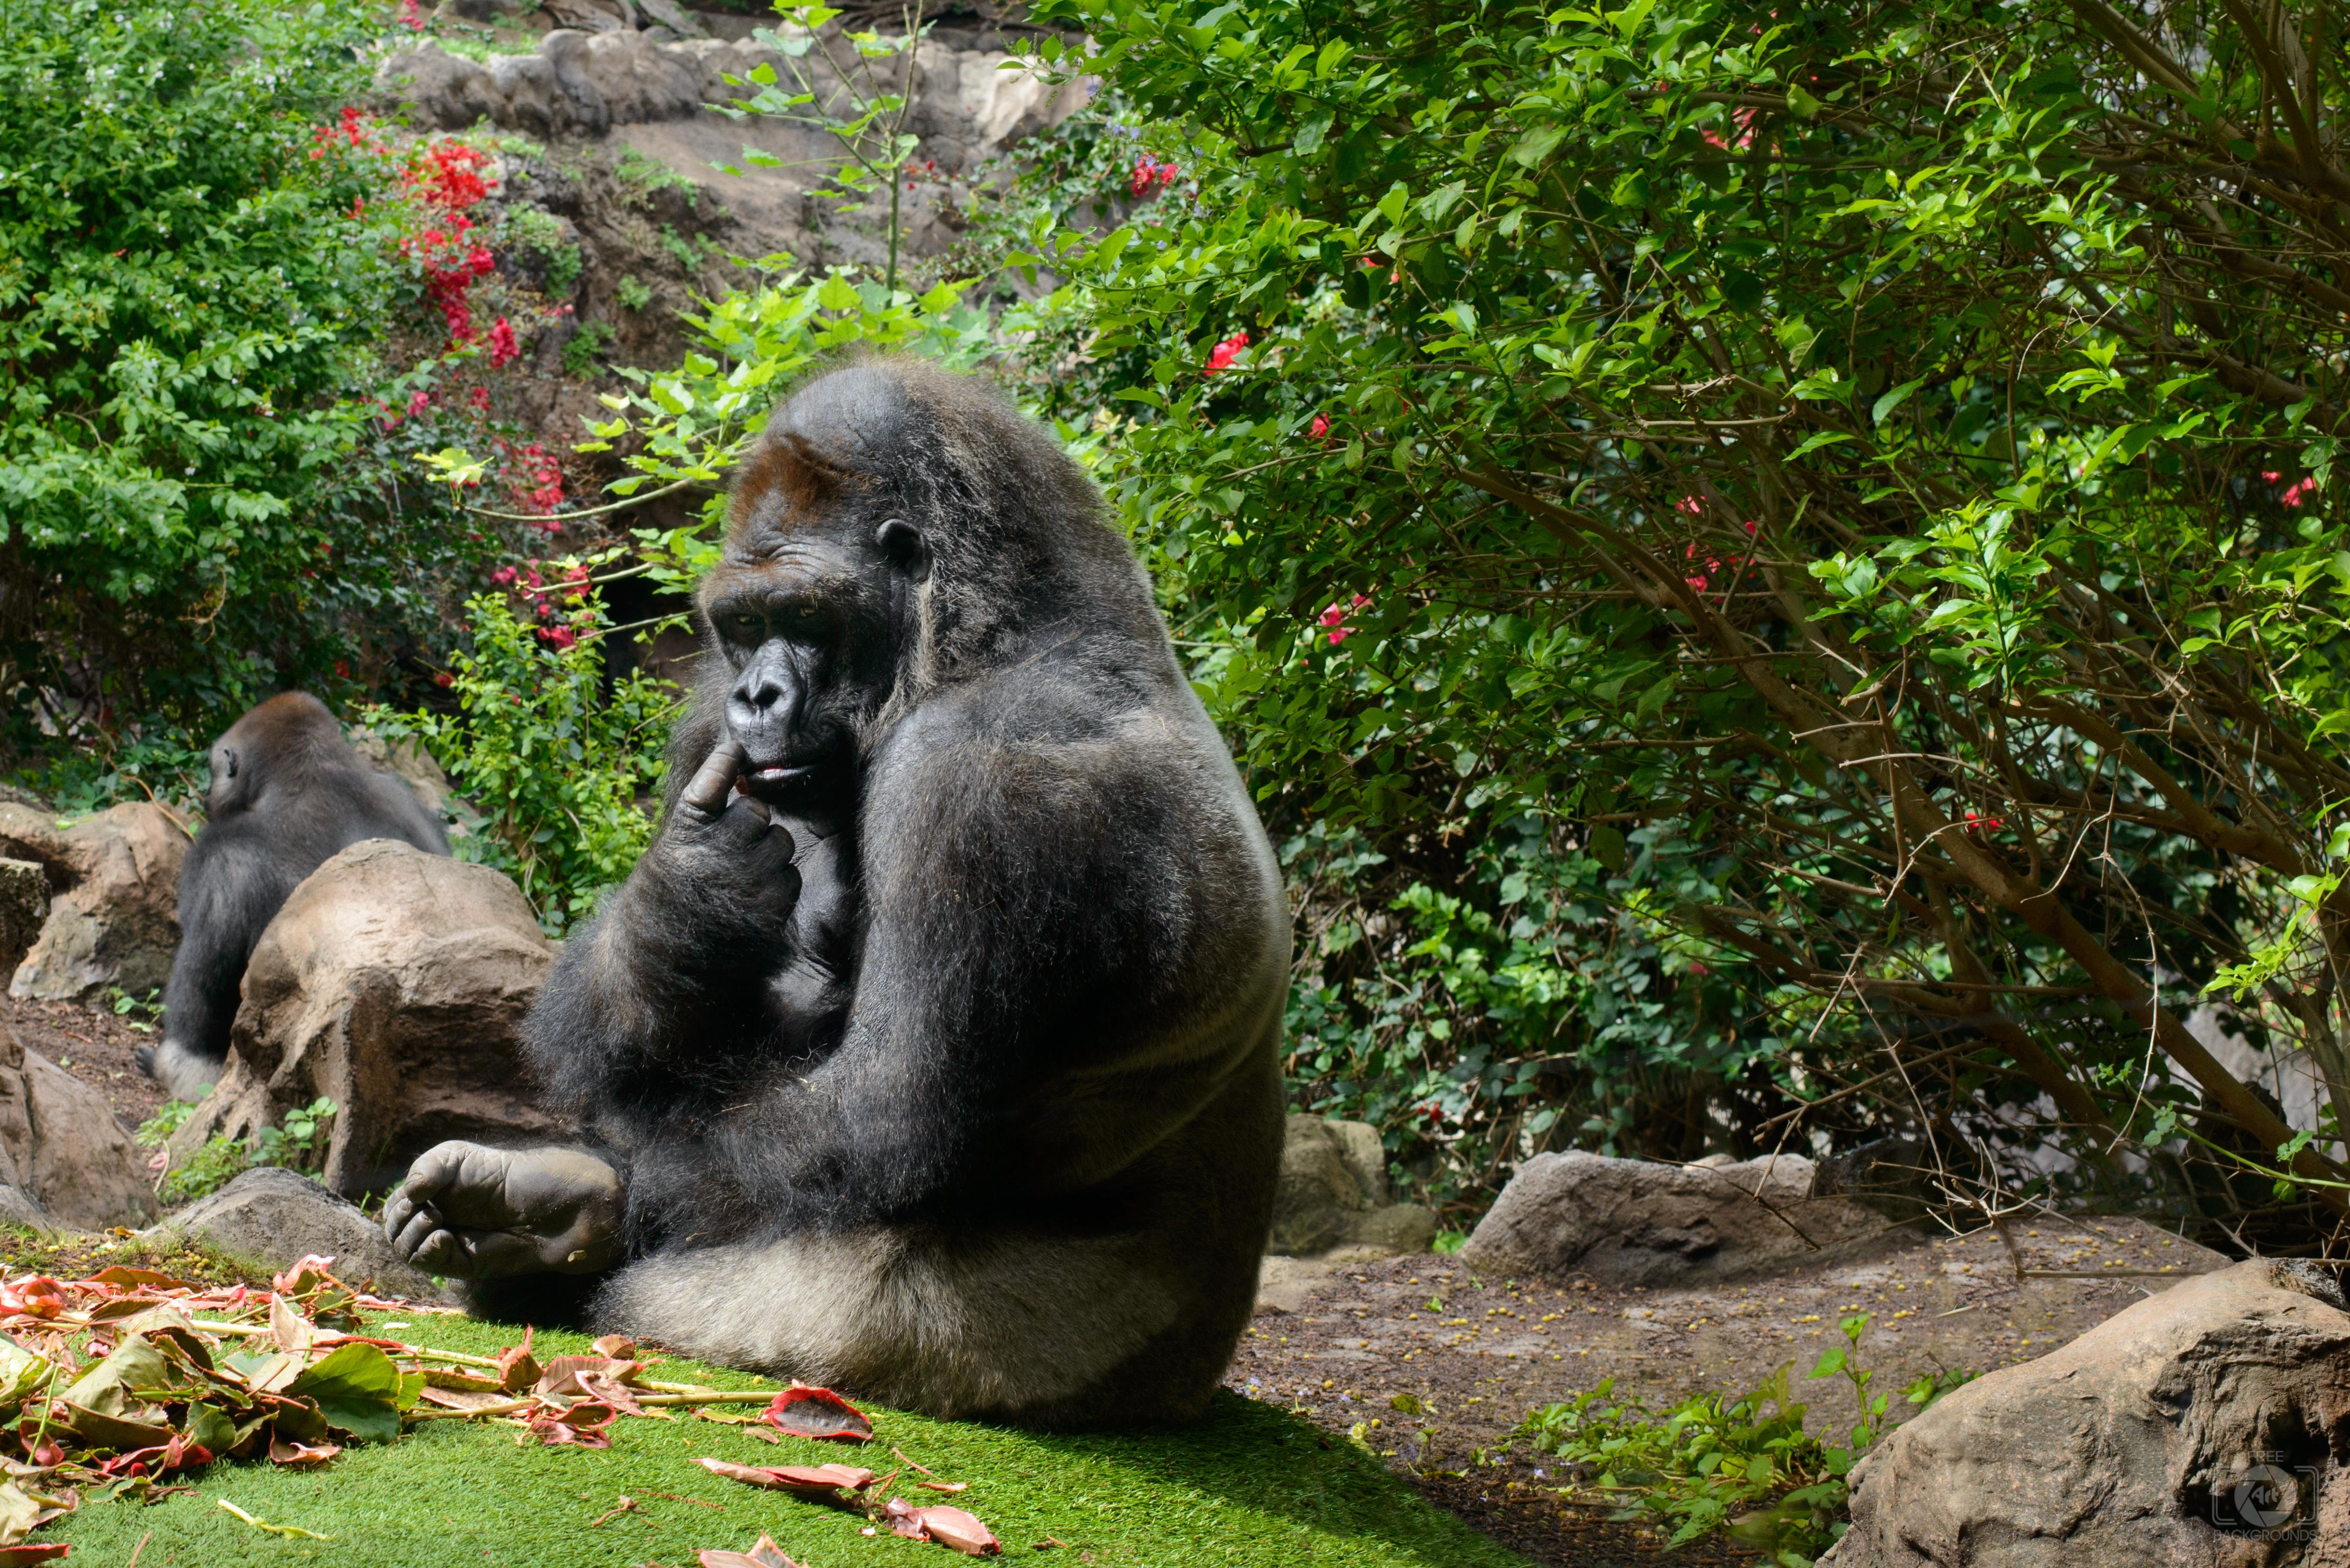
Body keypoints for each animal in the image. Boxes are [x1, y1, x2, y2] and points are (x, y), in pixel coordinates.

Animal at [139, 691, 451, 1103]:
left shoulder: (221, 857)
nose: (207, 796)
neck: (312, 772)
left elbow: (202, 993)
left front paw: (172, 1066)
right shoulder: (414, 804)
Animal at [383, 358, 1290, 1427]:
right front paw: (682, 898)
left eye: (807, 619)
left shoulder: (976, 778)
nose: (757, 696)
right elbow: (629, 1017)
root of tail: (1197, 1378)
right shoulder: (710, 721)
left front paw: (589, 1195)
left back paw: (577, 1221)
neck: (991, 639)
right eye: (742, 627)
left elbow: (880, 1116)